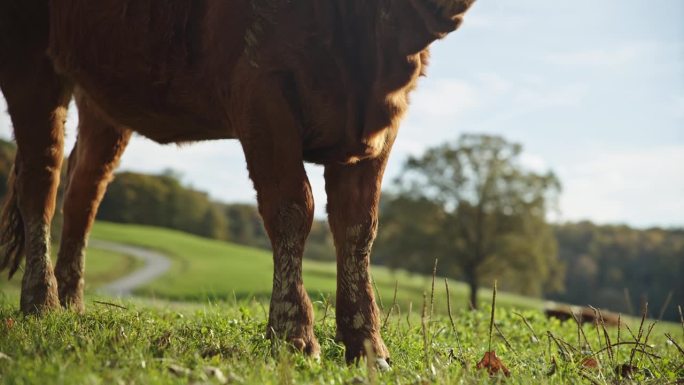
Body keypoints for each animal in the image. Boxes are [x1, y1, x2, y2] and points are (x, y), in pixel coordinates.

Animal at [1, 0, 476, 362]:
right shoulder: (261, 89)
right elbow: (292, 207)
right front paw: (293, 333)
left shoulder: (381, 127)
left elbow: (359, 227)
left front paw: (367, 344)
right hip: (29, 57)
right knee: (42, 177)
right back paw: (41, 302)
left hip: (102, 96)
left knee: (84, 189)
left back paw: (72, 303)